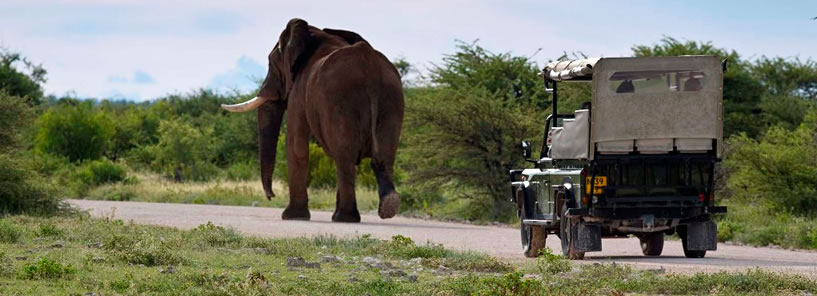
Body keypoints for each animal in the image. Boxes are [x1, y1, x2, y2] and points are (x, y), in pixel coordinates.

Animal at [222, 18, 404, 222]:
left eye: (271, 63)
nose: (271, 196)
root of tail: (369, 67)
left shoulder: (299, 90)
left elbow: (295, 144)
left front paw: (292, 217)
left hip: (339, 99)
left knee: (345, 157)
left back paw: (344, 218)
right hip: (392, 97)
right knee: (384, 157)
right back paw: (387, 207)